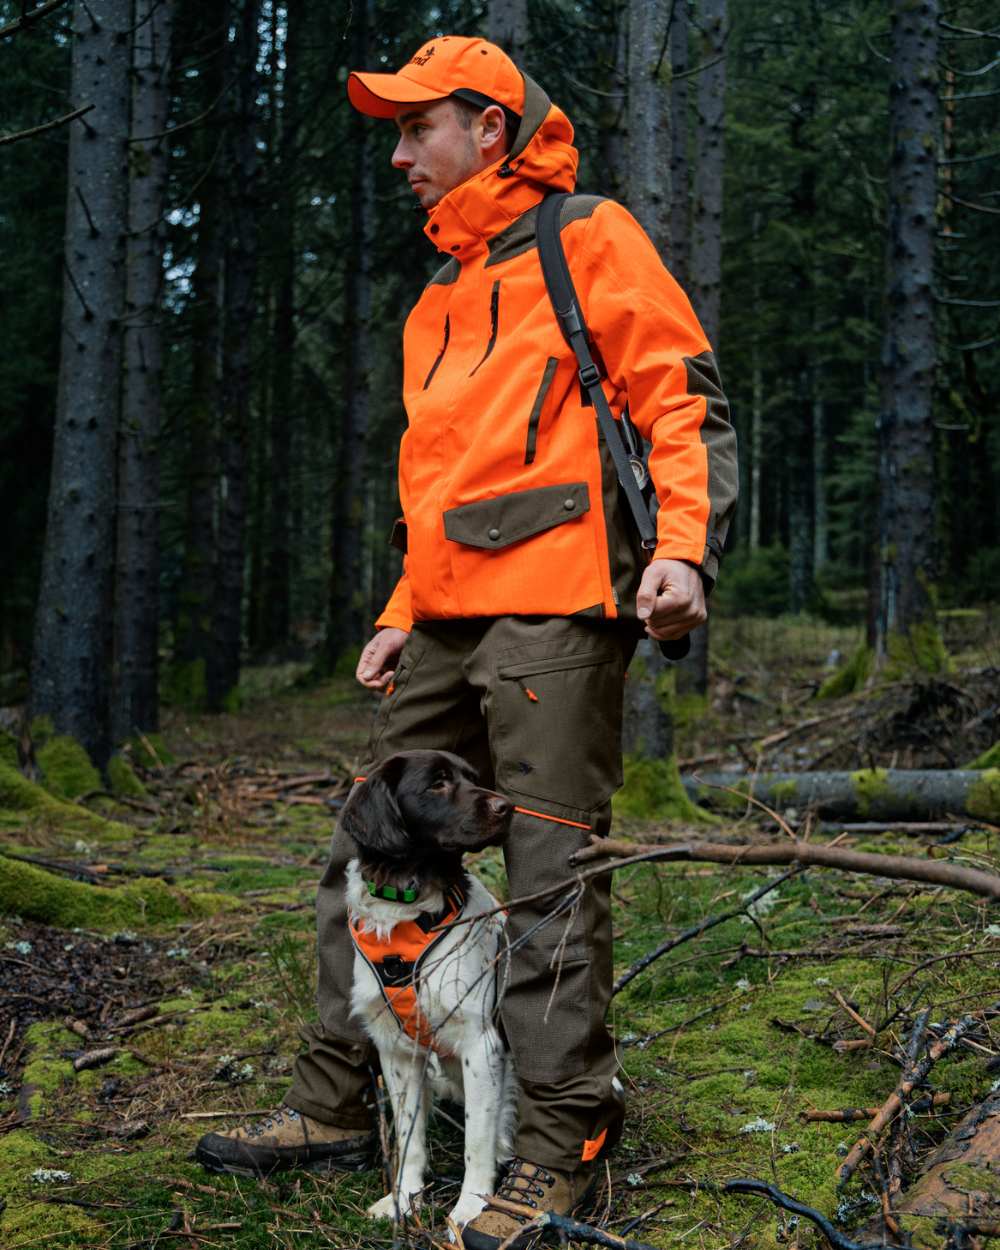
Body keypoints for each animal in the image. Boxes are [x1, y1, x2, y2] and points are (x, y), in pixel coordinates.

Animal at [342, 750, 520, 1230]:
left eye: (473, 778)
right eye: (436, 783)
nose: (508, 807)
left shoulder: (481, 1043)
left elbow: (477, 1136)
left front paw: (471, 1207)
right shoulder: (397, 1052)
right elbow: (409, 1137)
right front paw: (403, 1199)